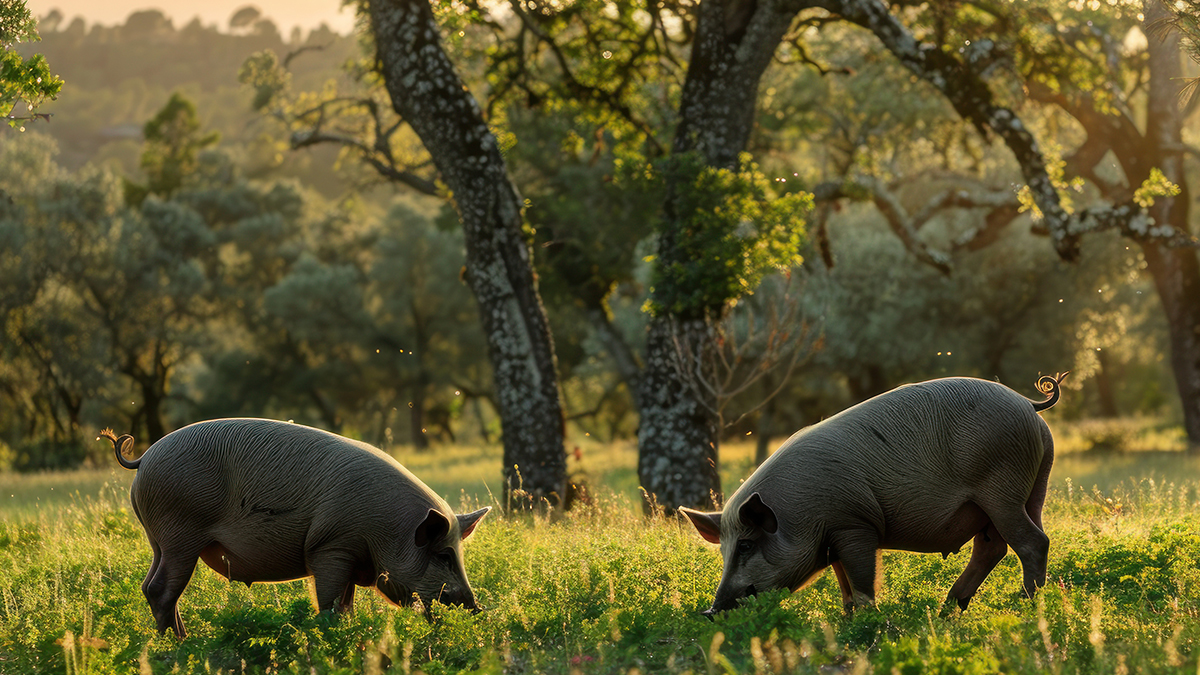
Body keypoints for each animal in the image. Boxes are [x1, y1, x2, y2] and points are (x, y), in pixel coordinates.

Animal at [98, 415, 489, 634]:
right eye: (442, 555)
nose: (475, 607)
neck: (388, 531)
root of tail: (144, 458)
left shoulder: (350, 558)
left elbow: (346, 606)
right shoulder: (331, 547)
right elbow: (328, 604)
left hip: (158, 540)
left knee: (150, 586)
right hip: (180, 533)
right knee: (162, 589)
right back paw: (181, 644)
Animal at [681, 372, 1065, 614]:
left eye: (746, 545)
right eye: (724, 550)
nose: (710, 611)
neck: (799, 513)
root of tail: (1028, 404)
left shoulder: (854, 524)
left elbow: (863, 582)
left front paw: (868, 622)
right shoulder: (833, 542)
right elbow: (845, 589)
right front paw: (848, 621)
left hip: (1002, 488)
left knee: (1032, 543)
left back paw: (1024, 605)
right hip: (1032, 487)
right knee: (994, 548)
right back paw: (947, 611)